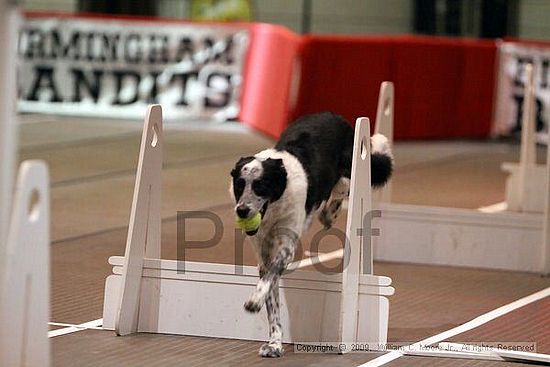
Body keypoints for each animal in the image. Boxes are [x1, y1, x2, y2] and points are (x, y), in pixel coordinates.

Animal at [231, 111, 394, 356]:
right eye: (240, 185)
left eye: (260, 185)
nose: (242, 210)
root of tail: (333, 115)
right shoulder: (265, 253)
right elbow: (271, 295)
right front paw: (275, 343)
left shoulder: (285, 247)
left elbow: (269, 279)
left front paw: (254, 301)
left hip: (350, 167)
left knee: (342, 187)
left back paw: (328, 214)